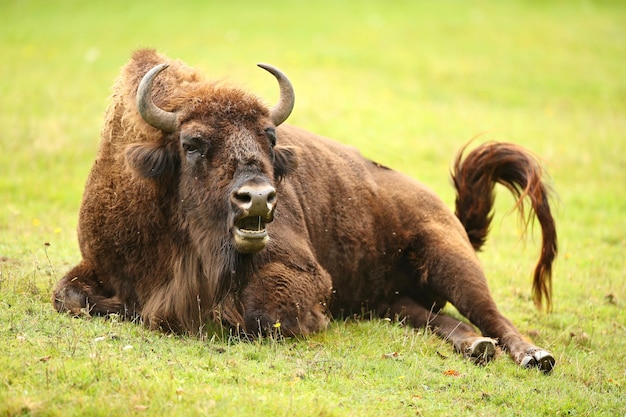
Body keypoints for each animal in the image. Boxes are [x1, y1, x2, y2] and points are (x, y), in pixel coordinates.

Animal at [53, 48, 556, 370]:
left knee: (491, 313)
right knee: (437, 319)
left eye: (269, 137)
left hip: (449, 257)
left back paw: (535, 356)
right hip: (392, 303)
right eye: (192, 143)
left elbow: (261, 315)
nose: (259, 196)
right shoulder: (98, 263)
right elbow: (69, 296)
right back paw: (477, 348)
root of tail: (447, 213)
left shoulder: (304, 275)